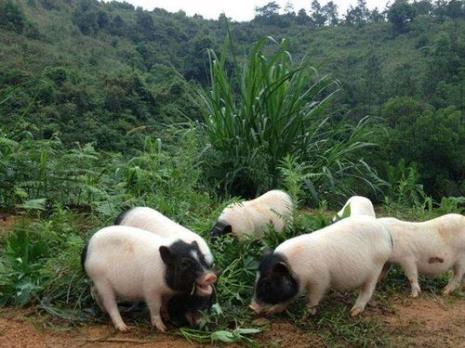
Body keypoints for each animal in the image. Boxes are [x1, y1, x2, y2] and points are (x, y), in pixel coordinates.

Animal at [81, 226, 216, 332]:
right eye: (184, 264)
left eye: (201, 257)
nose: (211, 276)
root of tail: (86, 248)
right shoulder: (150, 290)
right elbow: (155, 307)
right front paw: (162, 328)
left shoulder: (167, 293)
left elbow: (165, 303)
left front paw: (167, 317)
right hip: (102, 281)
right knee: (111, 305)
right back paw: (124, 328)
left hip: (97, 282)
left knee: (95, 293)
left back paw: (103, 311)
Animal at [248, 218, 394, 318]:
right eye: (256, 279)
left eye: (267, 283)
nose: (251, 307)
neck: (299, 267)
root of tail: (386, 234)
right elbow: (290, 296)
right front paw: (272, 311)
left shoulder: (320, 280)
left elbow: (314, 297)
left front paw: (306, 314)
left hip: (375, 269)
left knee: (367, 291)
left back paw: (353, 312)